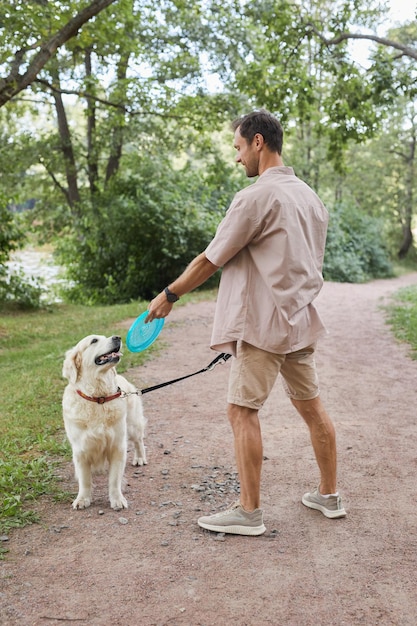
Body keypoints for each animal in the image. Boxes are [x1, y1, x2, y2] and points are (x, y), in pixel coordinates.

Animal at [61, 334, 146, 510]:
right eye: (94, 340)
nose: (117, 337)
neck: (98, 398)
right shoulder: (80, 450)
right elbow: (85, 480)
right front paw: (83, 499)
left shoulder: (117, 446)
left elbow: (114, 480)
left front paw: (117, 499)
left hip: (132, 425)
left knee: (138, 441)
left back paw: (140, 458)